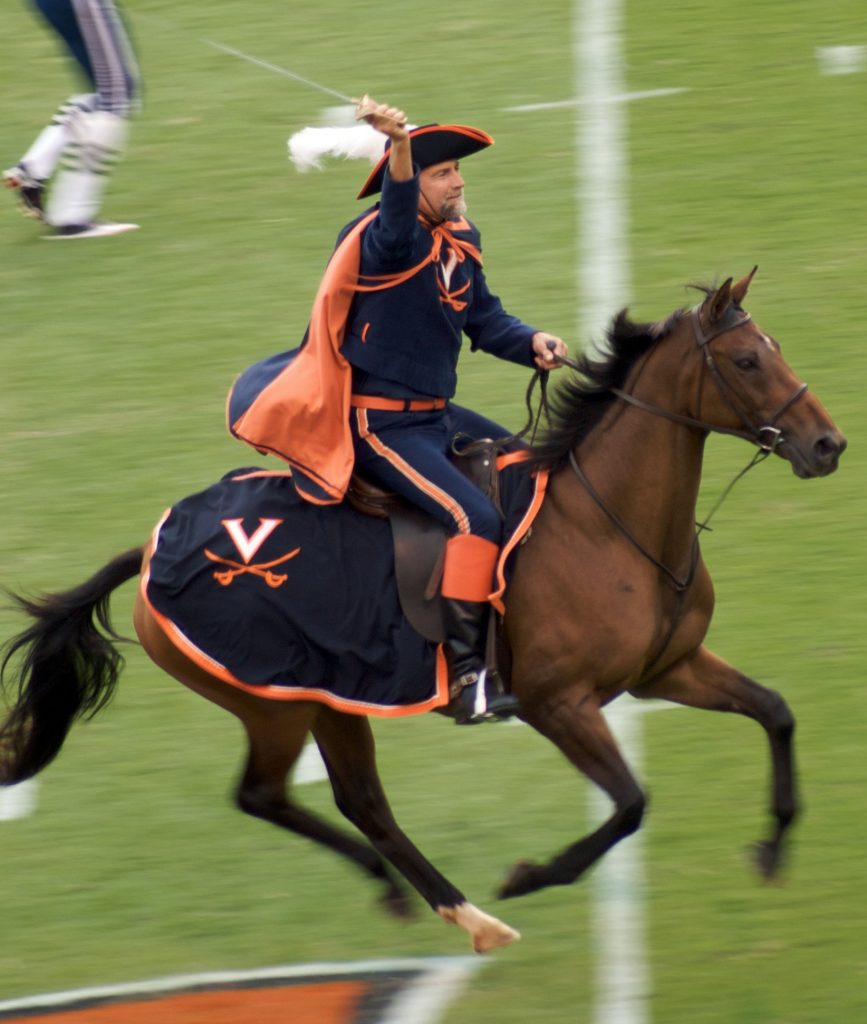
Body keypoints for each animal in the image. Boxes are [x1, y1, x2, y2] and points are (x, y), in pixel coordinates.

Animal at [0, 272, 843, 950]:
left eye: (773, 346)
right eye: (746, 361)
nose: (827, 445)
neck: (607, 526)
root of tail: (152, 548)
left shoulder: (668, 668)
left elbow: (776, 712)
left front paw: (771, 848)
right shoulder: (558, 705)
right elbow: (630, 804)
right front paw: (529, 874)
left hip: (327, 701)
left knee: (340, 802)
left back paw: (409, 895)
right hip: (279, 704)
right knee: (282, 797)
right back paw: (470, 913)